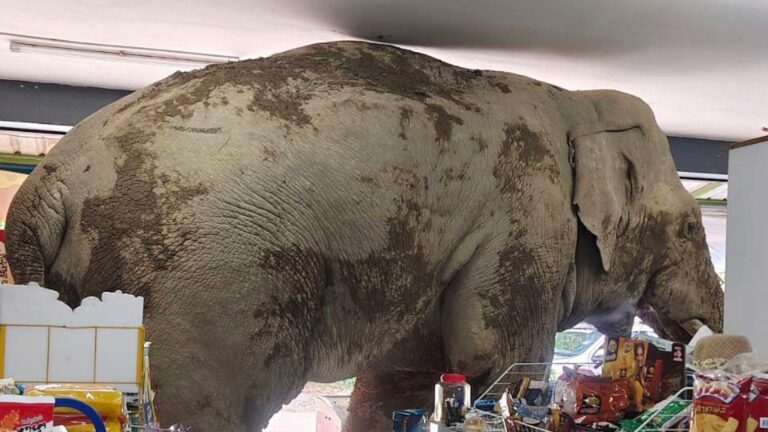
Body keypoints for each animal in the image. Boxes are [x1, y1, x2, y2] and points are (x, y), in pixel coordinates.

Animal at [5, 41, 723, 432]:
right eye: (691, 226)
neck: (574, 101)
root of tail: (45, 186)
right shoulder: (526, 214)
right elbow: (502, 361)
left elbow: (401, 382)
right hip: (212, 277)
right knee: (217, 400)